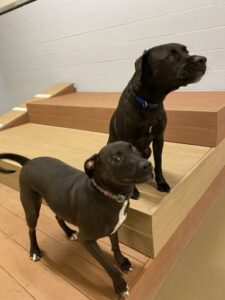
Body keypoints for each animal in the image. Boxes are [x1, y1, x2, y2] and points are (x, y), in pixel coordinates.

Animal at [0, 142, 153, 296]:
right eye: (116, 158)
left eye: (134, 149)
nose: (148, 165)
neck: (107, 194)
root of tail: (28, 161)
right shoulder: (88, 240)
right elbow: (108, 265)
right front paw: (120, 285)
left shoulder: (114, 228)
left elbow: (116, 246)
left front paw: (123, 262)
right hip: (31, 208)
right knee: (31, 230)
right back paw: (35, 251)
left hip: (58, 203)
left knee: (58, 217)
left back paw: (68, 232)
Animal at [108, 42, 207, 197]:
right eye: (171, 57)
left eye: (187, 51)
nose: (202, 59)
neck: (148, 104)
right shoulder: (128, 140)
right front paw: (132, 190)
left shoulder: (159, 138)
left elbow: (159, 163)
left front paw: (161, 183)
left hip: (147, 150)